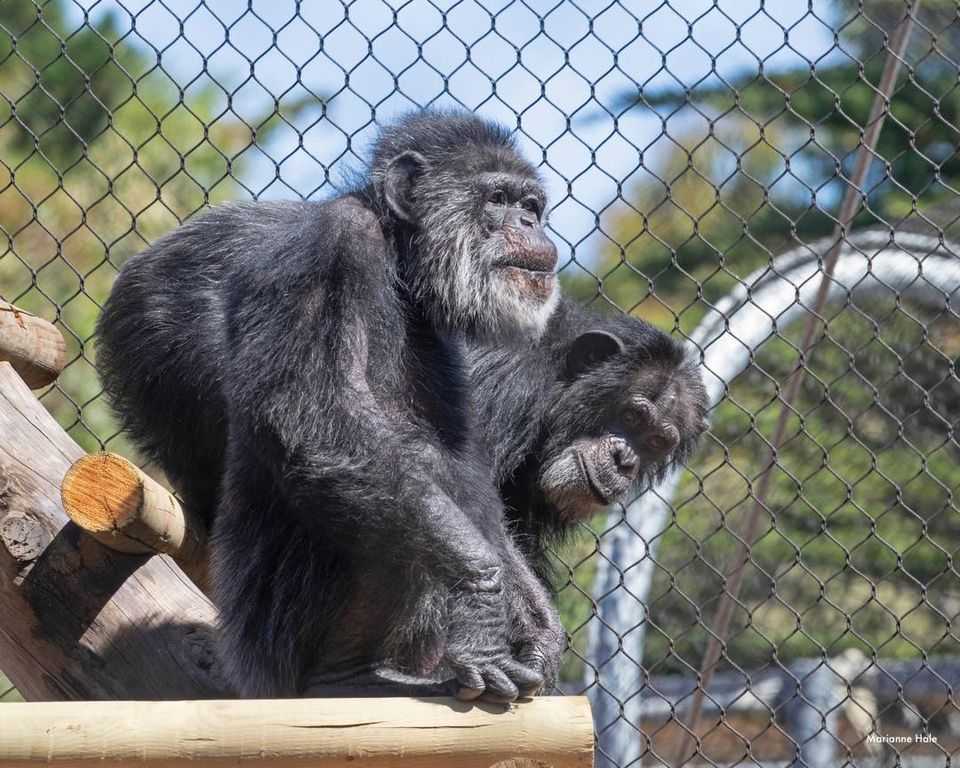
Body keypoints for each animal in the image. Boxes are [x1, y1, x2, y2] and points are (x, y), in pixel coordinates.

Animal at [97, 109, 564, 704]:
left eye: (531, 205)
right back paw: (352, 675)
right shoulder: (328, 250)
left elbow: (470, 464)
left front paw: (539, 626)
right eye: (498, 199)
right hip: (275, 649)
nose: (528, 224)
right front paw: (481, 599)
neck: (398, 259)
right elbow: (314, 421)